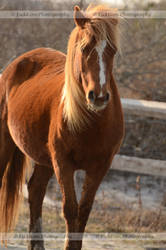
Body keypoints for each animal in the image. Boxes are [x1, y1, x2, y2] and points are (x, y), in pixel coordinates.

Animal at [0, 3, 123, 250]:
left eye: (112, 50)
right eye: (84, 48)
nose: (99, 97)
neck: (92, 124)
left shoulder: (100, 167)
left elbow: (83, 211)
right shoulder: (63, 163)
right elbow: (70, 209)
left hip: (44, 158)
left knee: (35, 191)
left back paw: (36, 244)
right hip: (6, 142)